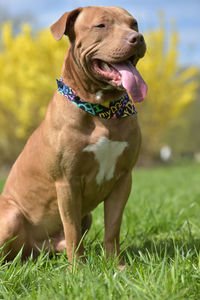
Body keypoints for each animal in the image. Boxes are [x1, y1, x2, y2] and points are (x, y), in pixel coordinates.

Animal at [0, 5, 147, 268]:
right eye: (101, 25)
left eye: (134, 24)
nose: (137, 38)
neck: (102, 110)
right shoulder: (67, 182)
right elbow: (72, 230)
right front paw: (77, 269)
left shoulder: (123, 179)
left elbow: (112, 228)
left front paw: (116, 265)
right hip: (11, 215)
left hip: (83, 218)